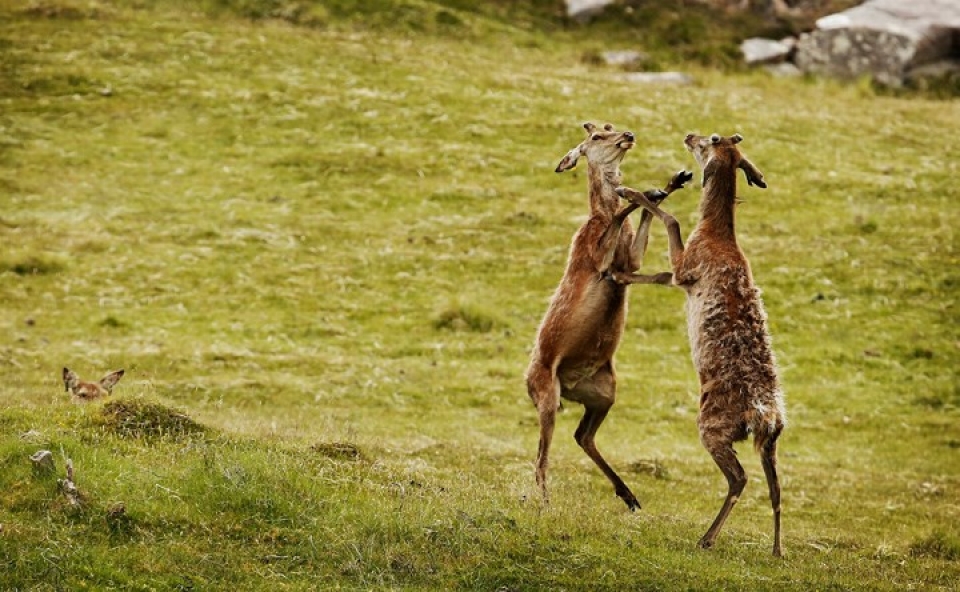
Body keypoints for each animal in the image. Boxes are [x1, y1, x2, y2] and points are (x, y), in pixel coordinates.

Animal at [524, 122, 688, 512]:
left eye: (611, 126)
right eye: (595, 136)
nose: (627, 135)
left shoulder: (631, 260)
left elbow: (635, 245)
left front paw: (670, 182)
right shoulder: (595, 257)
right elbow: (618, 217)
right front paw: (636, 191)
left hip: (603, 391)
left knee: (582, 434)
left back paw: (630, 496)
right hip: (546, 393)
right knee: (541, 454)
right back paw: (545, 502)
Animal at [616, 133, 788, 556]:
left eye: (711, 140)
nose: (689, 135)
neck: (717, 235)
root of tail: (765, 416)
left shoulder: (688, 267)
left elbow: (673, 223)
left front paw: (628, 191)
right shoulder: (681, 276)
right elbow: (659, 274)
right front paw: (617, 274)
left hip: (713, 426)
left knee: (740, 478)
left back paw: (707, 538)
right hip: (771, 442)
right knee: (777, 488)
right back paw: (777, 550)